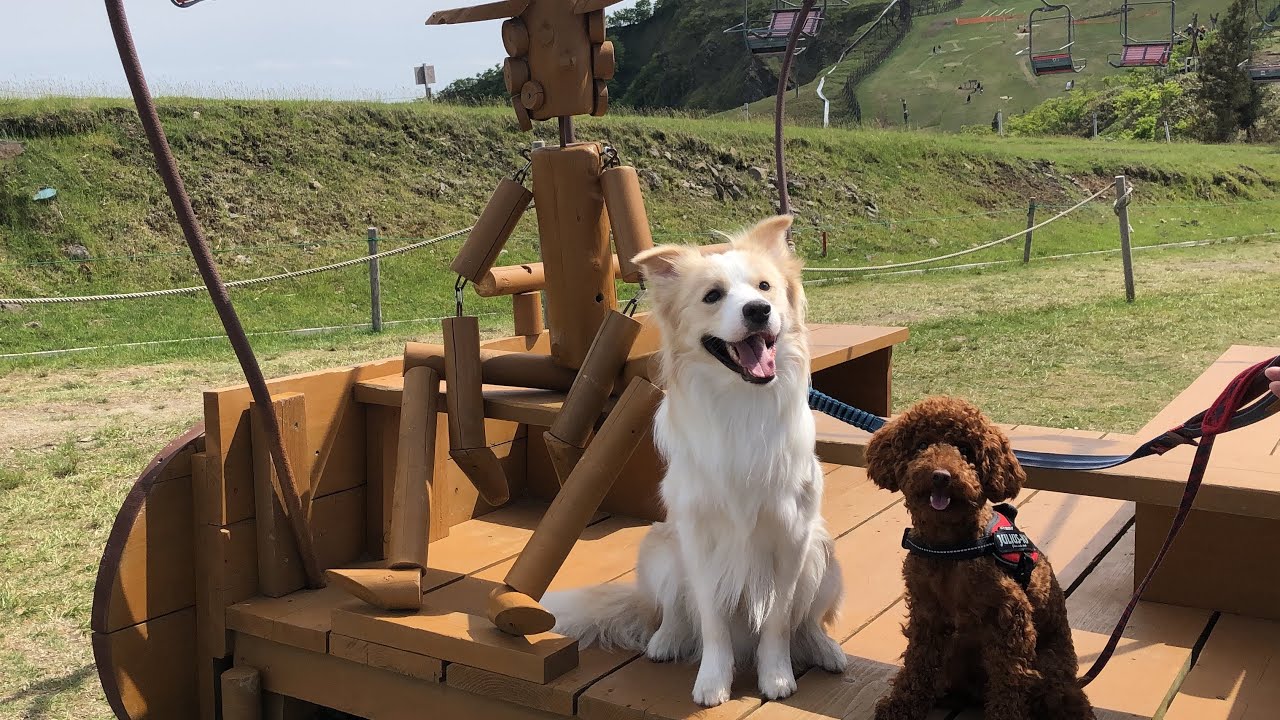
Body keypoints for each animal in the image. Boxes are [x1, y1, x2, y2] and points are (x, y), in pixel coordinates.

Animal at [542, 215, 849, 702]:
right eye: (712, 296)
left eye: (765, 286)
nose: (758, 310)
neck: (741, 404)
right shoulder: (701, 542)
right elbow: (712, 621)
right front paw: (713, 681)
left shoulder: (792, 535)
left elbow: (780, 619)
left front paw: (777, 676)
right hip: (659, 549)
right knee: (674, 613)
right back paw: (665, 641)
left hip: (824, 554)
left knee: (807, 620)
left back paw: (823, 648)